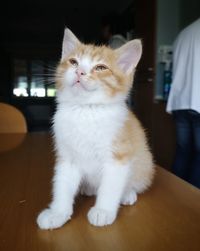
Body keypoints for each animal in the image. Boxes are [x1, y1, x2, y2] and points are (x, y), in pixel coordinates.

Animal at [36, 28, 155, 228]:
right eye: (73, 62)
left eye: (100, 68)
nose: (80, 71)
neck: (85, 111)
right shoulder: (67, 158)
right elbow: (62, 184)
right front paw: (57, 213)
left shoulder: (118, 156)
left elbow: (110, 186)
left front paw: (103, 211)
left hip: (144, 163)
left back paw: (127, 193)